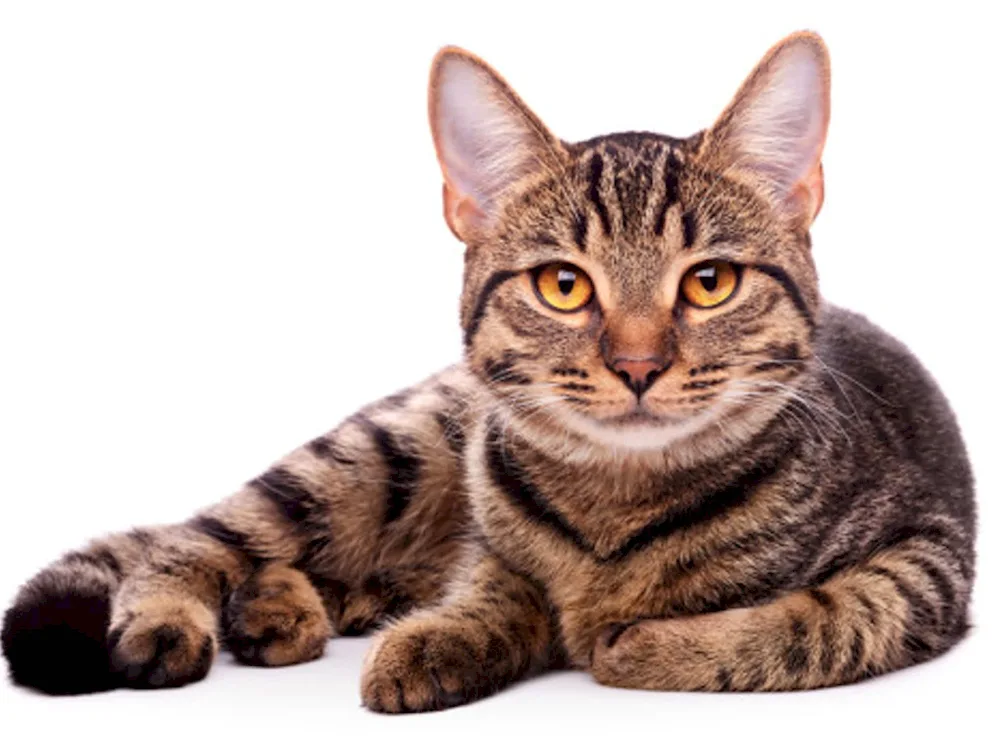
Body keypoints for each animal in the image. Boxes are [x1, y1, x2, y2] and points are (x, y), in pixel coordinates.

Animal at [1, 29, 976, 712]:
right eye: (562, 286)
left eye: (710, 283)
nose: (637, 364)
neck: (618, 503)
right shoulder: (488, 534)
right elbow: (497, 586)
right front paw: (452, 637)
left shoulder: (928, 561)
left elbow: (818, 620)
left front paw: (645, 643)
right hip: (385, 452)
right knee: (193, 539)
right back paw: (180, 614)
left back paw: (281, 609)